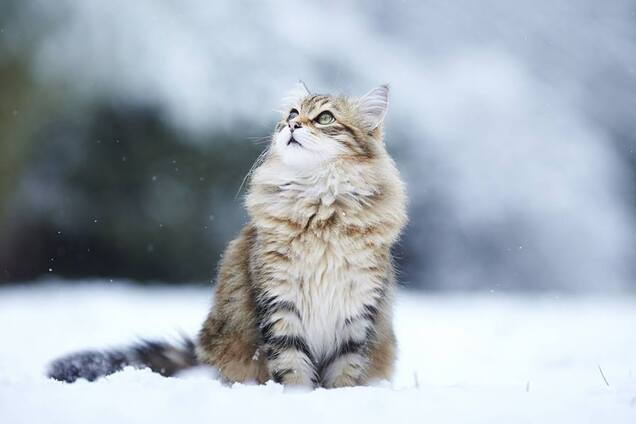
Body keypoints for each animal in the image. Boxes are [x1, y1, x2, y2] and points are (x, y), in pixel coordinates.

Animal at [48, 84, 408, 390]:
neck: (321, 210)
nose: (293, 125)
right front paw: (297, 398)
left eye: (325, 118)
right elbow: (292, 367)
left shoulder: (357, 310)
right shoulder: (279, 302)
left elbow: (345, 371)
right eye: (292, 113)